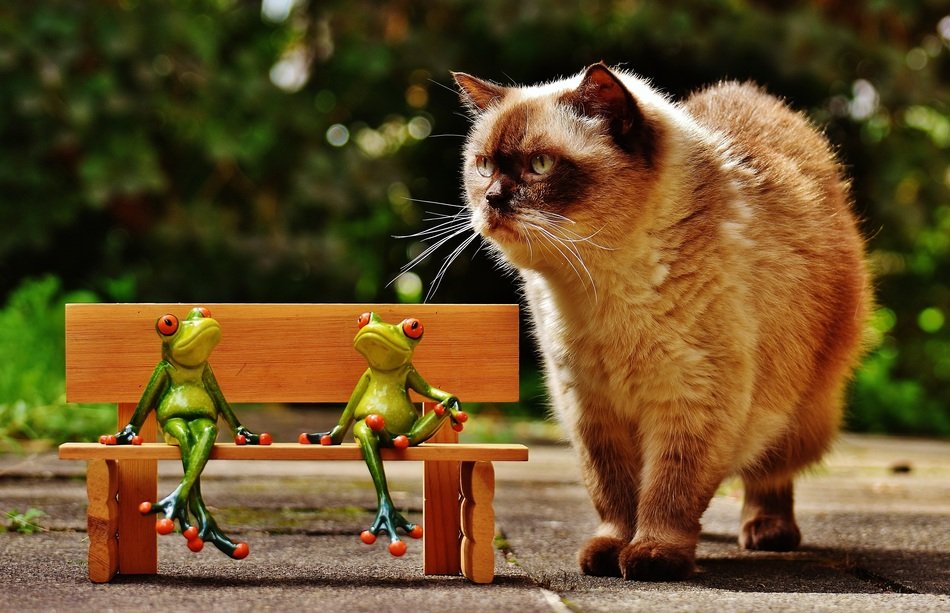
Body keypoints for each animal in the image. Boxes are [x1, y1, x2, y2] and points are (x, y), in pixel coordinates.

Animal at [450, 64, 872, 580]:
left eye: (541, 166)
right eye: (484, 166)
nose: (491, 199)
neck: (599, 289)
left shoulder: (693, 400)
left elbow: (669, 492)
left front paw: (652, 555)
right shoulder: (589, 407)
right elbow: (613, 495)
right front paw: (610, 551)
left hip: (794, 411)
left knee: (769, 472)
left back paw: (766, 532)